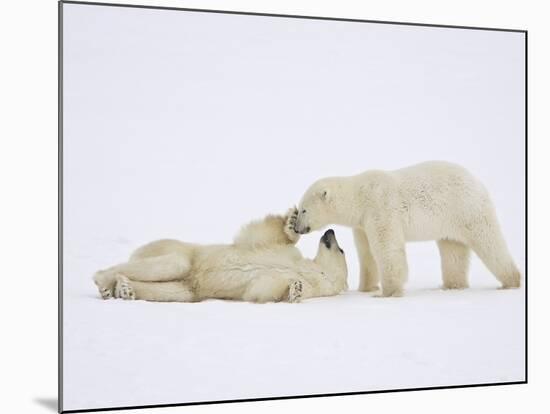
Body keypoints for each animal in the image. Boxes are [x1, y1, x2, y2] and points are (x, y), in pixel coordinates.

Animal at [92, 210, 348, 304]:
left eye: (342, 250)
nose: (330, 231)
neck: (313, 273)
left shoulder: (306, 283)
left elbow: (261, 289)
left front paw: (295, 290)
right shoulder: (287, 255)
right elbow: (266, 237)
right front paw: (292, 222)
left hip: (189, 287)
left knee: (172, 289)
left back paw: (123, 289)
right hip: (180, 250)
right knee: (172, 264)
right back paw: (106, 281)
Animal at [294, 160, 520, 296]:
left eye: (304, 210)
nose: (297, 228)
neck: (359, 196)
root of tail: (477, 182)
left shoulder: (380, 207)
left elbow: (387, 248)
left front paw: (388, 292)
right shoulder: (362, 223)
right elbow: (367, 254)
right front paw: (366, 288)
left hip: (466, 209)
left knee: (489, 241)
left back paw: (510, 281)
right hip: (449, 222)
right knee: (453, 251)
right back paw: (451, 285)